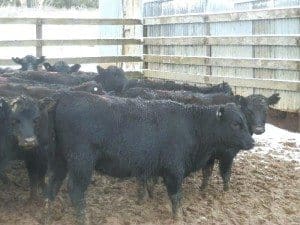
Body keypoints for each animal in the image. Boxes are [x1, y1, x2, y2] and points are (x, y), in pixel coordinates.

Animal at [45, 92, 254, 224]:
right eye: (236, 124)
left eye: (244, 120)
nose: (252, 142)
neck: (192, 126)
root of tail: (63, 99)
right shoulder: (174, 170)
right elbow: (176, 196)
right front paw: (178, 217)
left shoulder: (151, 168)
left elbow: (149, 184)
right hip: (81, 163)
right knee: (75, 191)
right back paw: (83, 219)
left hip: (60, 160)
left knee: (52, 185)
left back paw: (47, 214)